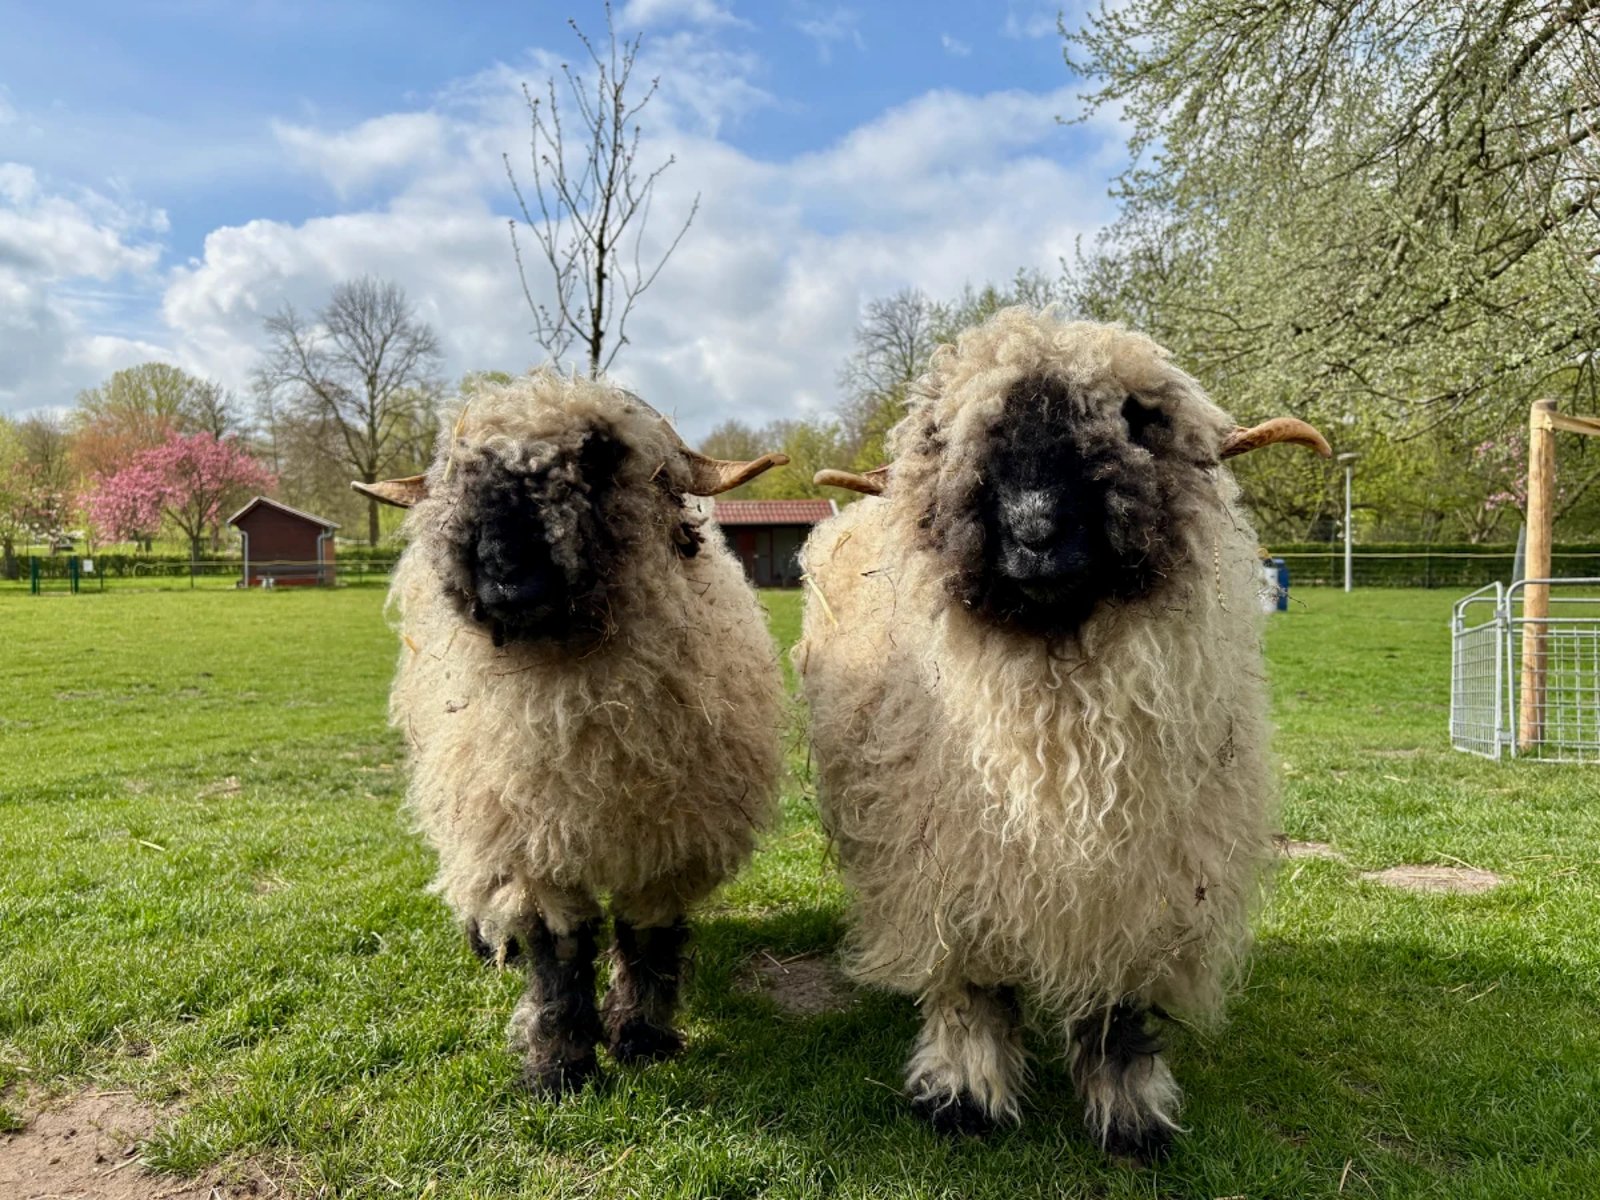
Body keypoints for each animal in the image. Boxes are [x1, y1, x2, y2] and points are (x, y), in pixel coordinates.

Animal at [355, 369, 788, 1096]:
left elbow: (647, 941)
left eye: (599, 453)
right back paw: (487, 943)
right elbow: (558, 953)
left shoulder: (669, 839)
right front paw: (559, 1068)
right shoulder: (533, 840)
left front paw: (641, 1039)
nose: (505, 572)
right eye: (459, 468)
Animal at [797, 308, 1328, 1159]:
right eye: (947, 436)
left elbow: (1120, 1006)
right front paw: (965, 1095)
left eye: (1136, 419)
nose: (1035, 528)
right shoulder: (952, 866)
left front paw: (1133, 1115)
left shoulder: (1146, 885)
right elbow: (970, 989)